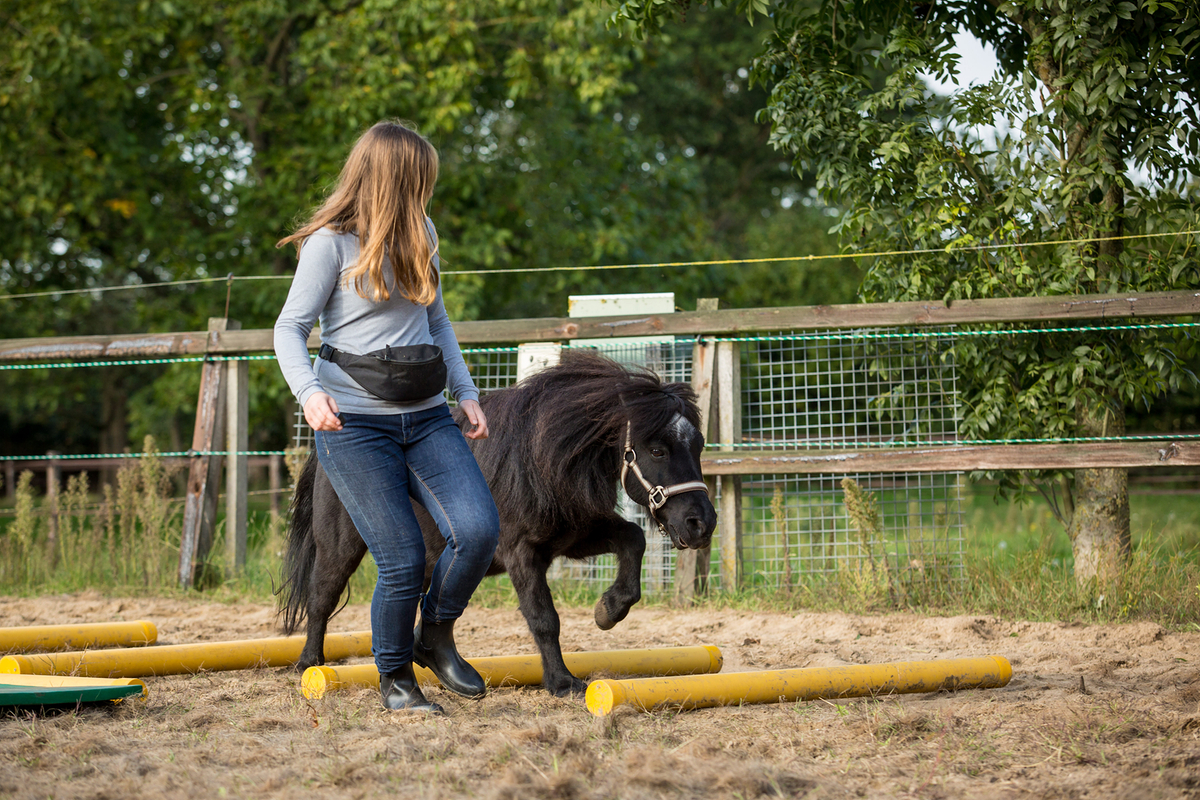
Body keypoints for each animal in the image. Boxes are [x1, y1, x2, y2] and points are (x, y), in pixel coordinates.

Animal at [276, 350, 715, 695]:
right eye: (657, 449)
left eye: (698, 444)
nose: (702, 523)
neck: (540, 458)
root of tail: (326, 449)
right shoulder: (522, 553)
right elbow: (544, 619)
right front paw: (562, 683)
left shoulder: (574, 537)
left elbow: (633, 538)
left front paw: (609, 610)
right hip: (341, 548)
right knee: (321, 597)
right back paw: (309, 665)